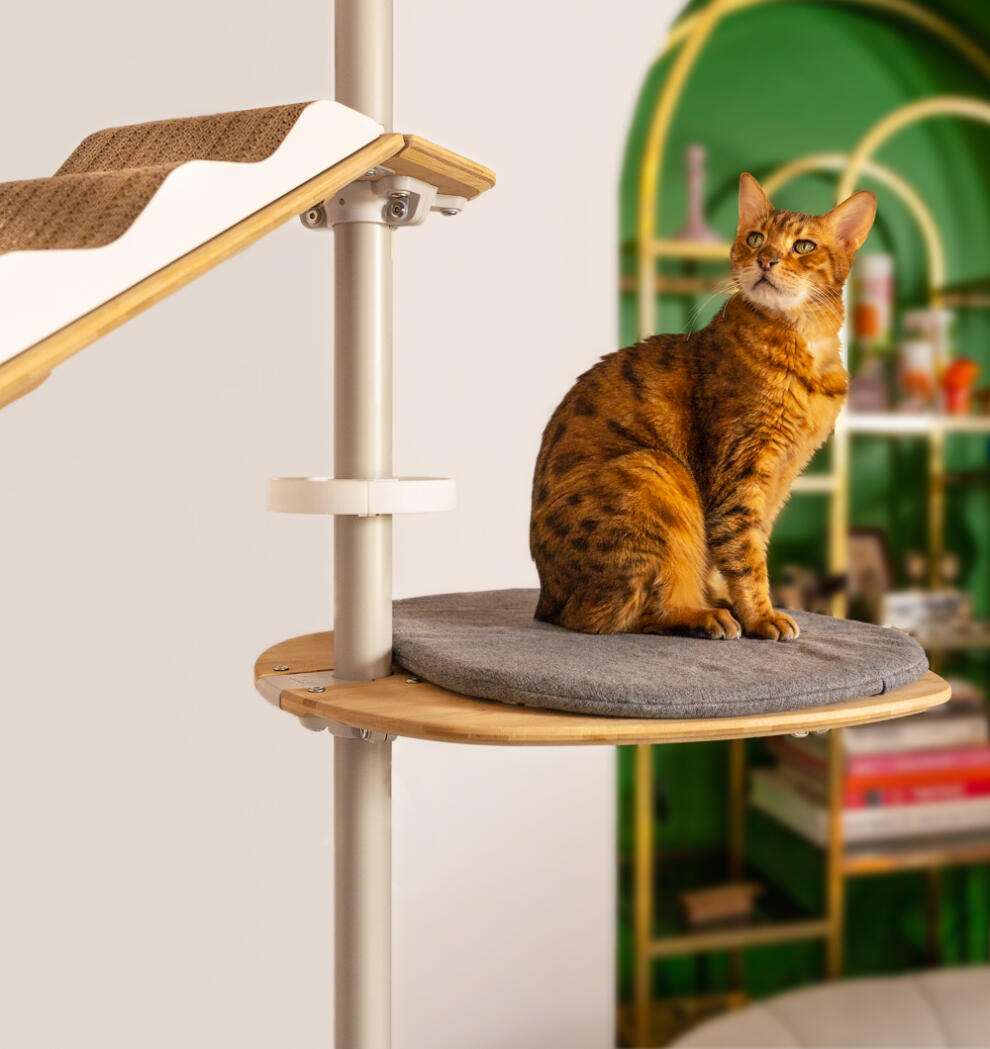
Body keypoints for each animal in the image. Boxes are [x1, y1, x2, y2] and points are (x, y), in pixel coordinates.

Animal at [530, 174, 876, 637]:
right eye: (755, 238)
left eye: (803, 245)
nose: (766, 259)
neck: (806, 347)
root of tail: (545, 601)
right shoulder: (743, 464)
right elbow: (745, 554)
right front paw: (762, 616)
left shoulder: (781, 478)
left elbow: (741, 548)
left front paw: (741, 604)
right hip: (654, 472)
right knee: (617, 614)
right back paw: (704, 615)